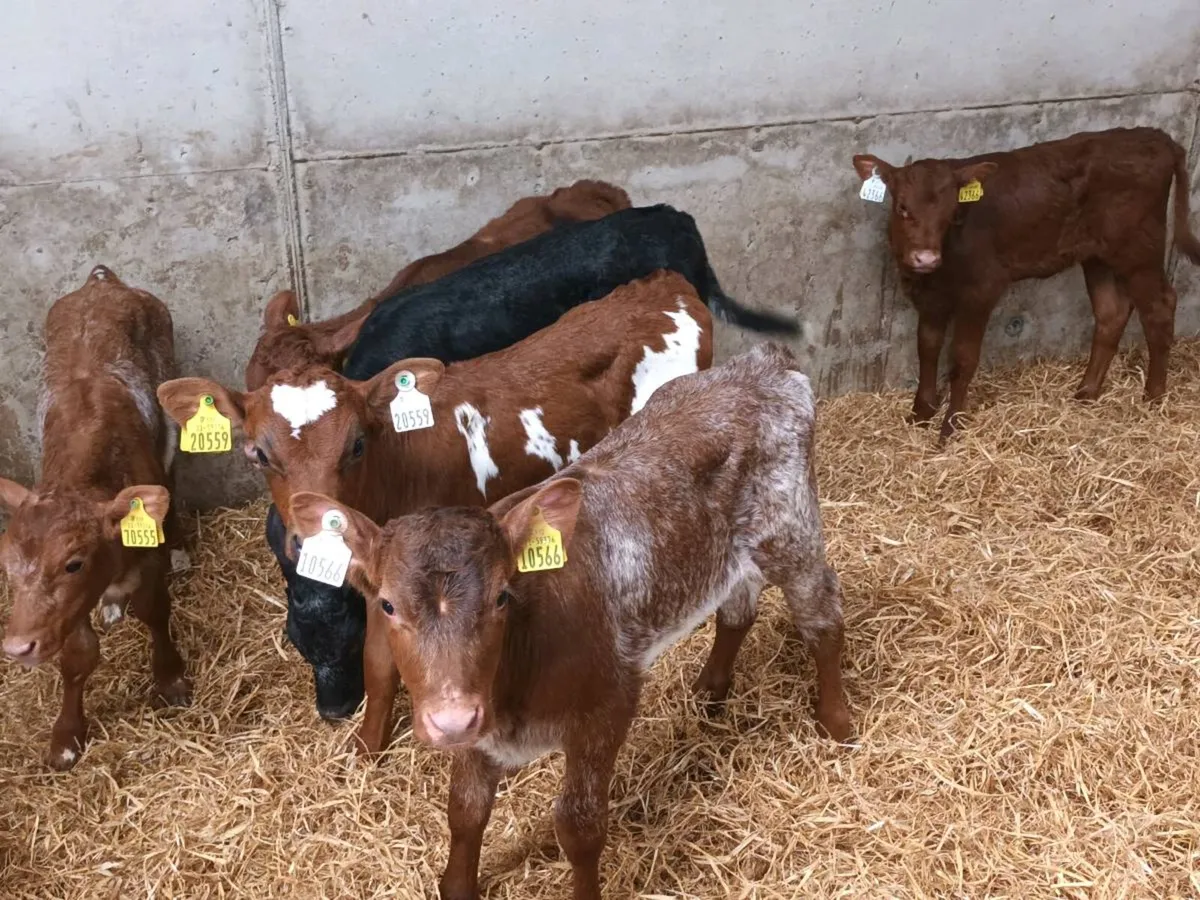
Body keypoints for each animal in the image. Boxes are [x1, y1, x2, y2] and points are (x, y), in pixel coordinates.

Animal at [0, 265, 190, 770]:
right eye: (8, 569)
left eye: (73, 563)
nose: (18, 647)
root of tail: (100, 281)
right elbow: (78, 655)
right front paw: (66, 736)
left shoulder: (148, 555)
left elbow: (154, 609)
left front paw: (170, 678)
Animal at [159, 271, 730, 734]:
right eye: (257, 452)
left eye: (357, 444)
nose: (318, 535)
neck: (398, 467)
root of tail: (667, 286)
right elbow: (378, 663)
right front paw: (368, 748)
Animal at [286, 341, 851, 900]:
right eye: (386, 605)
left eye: (502, 596)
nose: (451, 720)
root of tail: (764, 363)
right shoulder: (477, 727)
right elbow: (465, 812)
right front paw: (458, 881)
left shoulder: (607, 706)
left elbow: (578, 827)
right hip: (730, 552)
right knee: (737, 607)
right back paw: (710, 691)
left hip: (791, 528)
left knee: (822, 615)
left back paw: (836, 723)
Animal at [853, 127, 1200, 439]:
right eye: (902, 207)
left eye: (951, 212)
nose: (925, 258)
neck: (939, 271)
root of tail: (1155, 136)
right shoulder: (929, 297)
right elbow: (926, 348)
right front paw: (921, 414)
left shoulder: (982, 289)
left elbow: (962, 357)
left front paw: (950, 426)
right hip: (1097, 256)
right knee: (1111, 313)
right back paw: (1086, 393)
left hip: (1140, 249)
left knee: (1159, 308)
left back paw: (1153, 397)